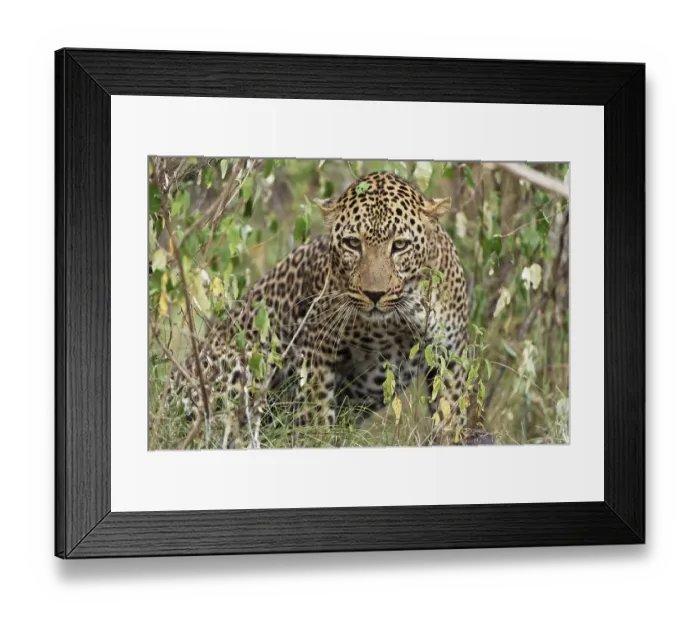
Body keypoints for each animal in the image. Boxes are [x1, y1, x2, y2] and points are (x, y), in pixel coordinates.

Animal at [165, 171, 493, 447]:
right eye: (352, 243)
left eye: (399, 245)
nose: (375, 294)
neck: (392, 323)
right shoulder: (318, 350)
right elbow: (316, 413)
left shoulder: (449, 353)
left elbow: (449, 415)